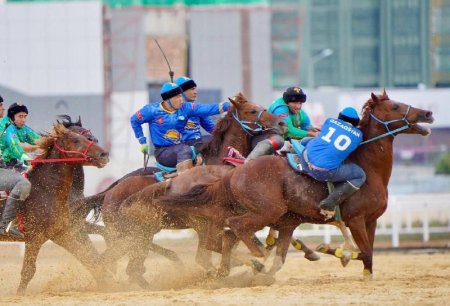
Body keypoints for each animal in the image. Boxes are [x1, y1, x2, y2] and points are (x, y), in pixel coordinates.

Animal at [0, 123, 111, 294]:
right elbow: (28, 271)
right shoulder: (35, 237)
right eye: (76, 139)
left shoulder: (61, 233)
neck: (44, 191)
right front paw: (19, 295)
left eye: (90, 137)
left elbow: (89, 257)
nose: (104, 154)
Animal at [156, 89, 434, 278]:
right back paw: (254, 258)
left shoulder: (370, 220)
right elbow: (364, 251)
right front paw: (336, 252)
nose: (428, 113)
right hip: (264, 211)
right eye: (396, 106)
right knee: (233, 230)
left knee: (225, 239)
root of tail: (234, 173)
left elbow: (369, 255)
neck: (368, 166)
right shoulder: (355, 219)